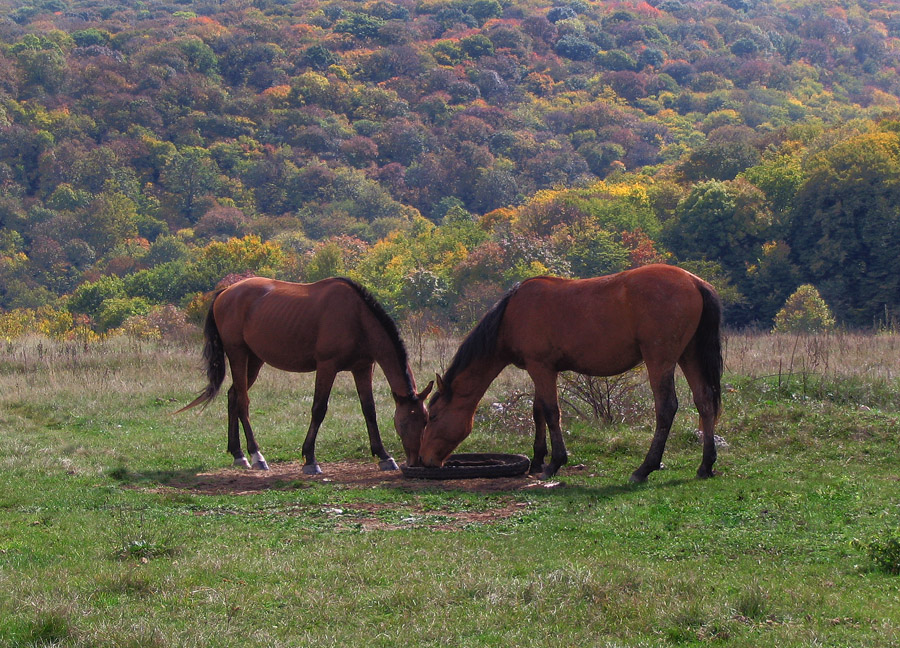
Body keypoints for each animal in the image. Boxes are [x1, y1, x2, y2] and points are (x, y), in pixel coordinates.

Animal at [178, 276, 432, 474]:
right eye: (405, 423)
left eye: (426, 420)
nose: (416, 462)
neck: (357, 317)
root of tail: (225, 292)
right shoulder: (327, 367)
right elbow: (319, 409)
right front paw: (309, 459)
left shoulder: (362, 368)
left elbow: (369, 410)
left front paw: (383, 455)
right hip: (237, 354)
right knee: (242, 401)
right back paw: (256, 455)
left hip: (254, 360)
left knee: (233, 396)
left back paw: (238, 454)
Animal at [422, 264, 724, 480]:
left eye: (433, 416)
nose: (425, 461)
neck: (511, 315)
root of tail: (694, 282)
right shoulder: (540, 369)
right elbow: (538, 412)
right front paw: (537, 459)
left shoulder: (541, 367)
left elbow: (551, 412)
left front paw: (554, 463)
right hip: (689, 355)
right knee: (704, 402)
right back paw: (705, 465)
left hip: (659, 360)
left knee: (666, 408)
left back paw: (644, 469)